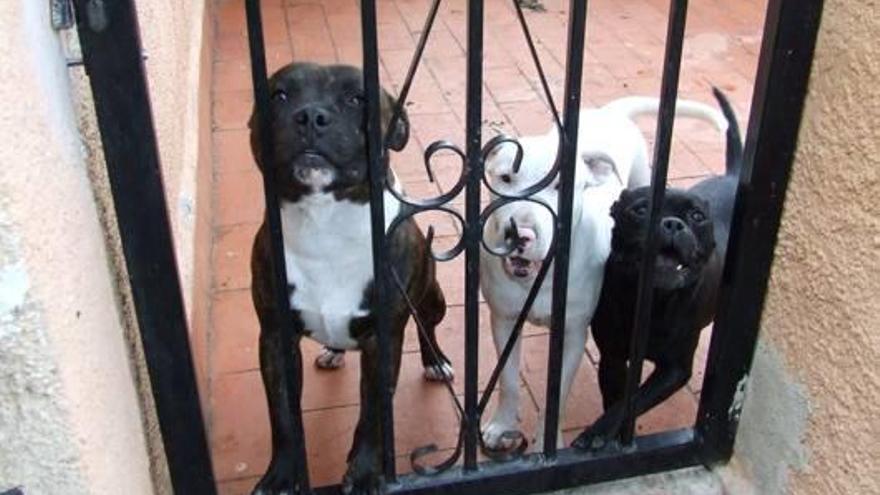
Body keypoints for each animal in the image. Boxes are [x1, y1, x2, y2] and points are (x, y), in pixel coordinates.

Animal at [249, 64, 450, 494]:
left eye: (357, 98)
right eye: (279, 95)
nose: (311, 115)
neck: (323, 223)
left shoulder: (383, 341)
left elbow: (372, 415)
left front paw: (364, 472)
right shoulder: (274, 338)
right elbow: (283, 417)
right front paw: (281, 475)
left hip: (433, 298)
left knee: (426, 325)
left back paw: (435, 362)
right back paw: (333, 351)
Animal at [478, 95, 724, 452]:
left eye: (561, 186)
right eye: (505, 179)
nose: (518, 233)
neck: (543, 275)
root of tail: (611, 113)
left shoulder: (573, 333)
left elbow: (557, 395)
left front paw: (545, 446)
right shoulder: (504, 320)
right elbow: (508, 381)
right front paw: (502, 425)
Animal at [572, 87, 744, 452]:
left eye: (697, 216)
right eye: (639, 209)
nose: (672, 223)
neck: (654, 301)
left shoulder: (674, 370)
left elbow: (632, 402)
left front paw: (600, 433)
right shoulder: (612, 354)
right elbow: (618, 399)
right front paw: (607, 435)